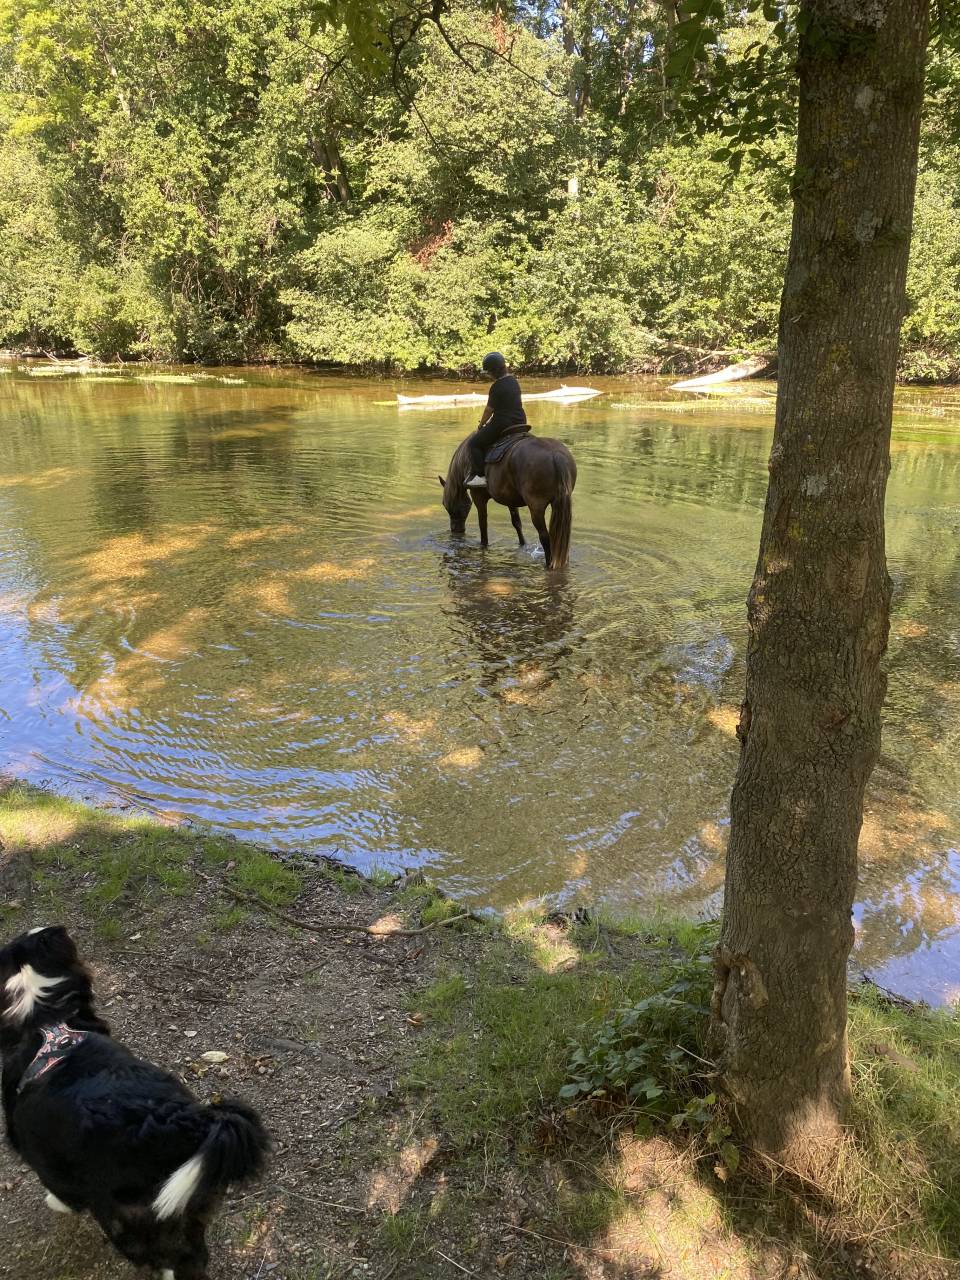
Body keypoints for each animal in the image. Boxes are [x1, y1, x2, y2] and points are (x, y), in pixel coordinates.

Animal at [438, 434, 577, 569]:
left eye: (446, 506)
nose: (456, 531)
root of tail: (556, 455)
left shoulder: (479, 498)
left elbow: (483, 526)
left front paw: (483, 546)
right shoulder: (511, 501)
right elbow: (517, 523)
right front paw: (522, 545)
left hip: (536, 508)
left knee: (545, 537)